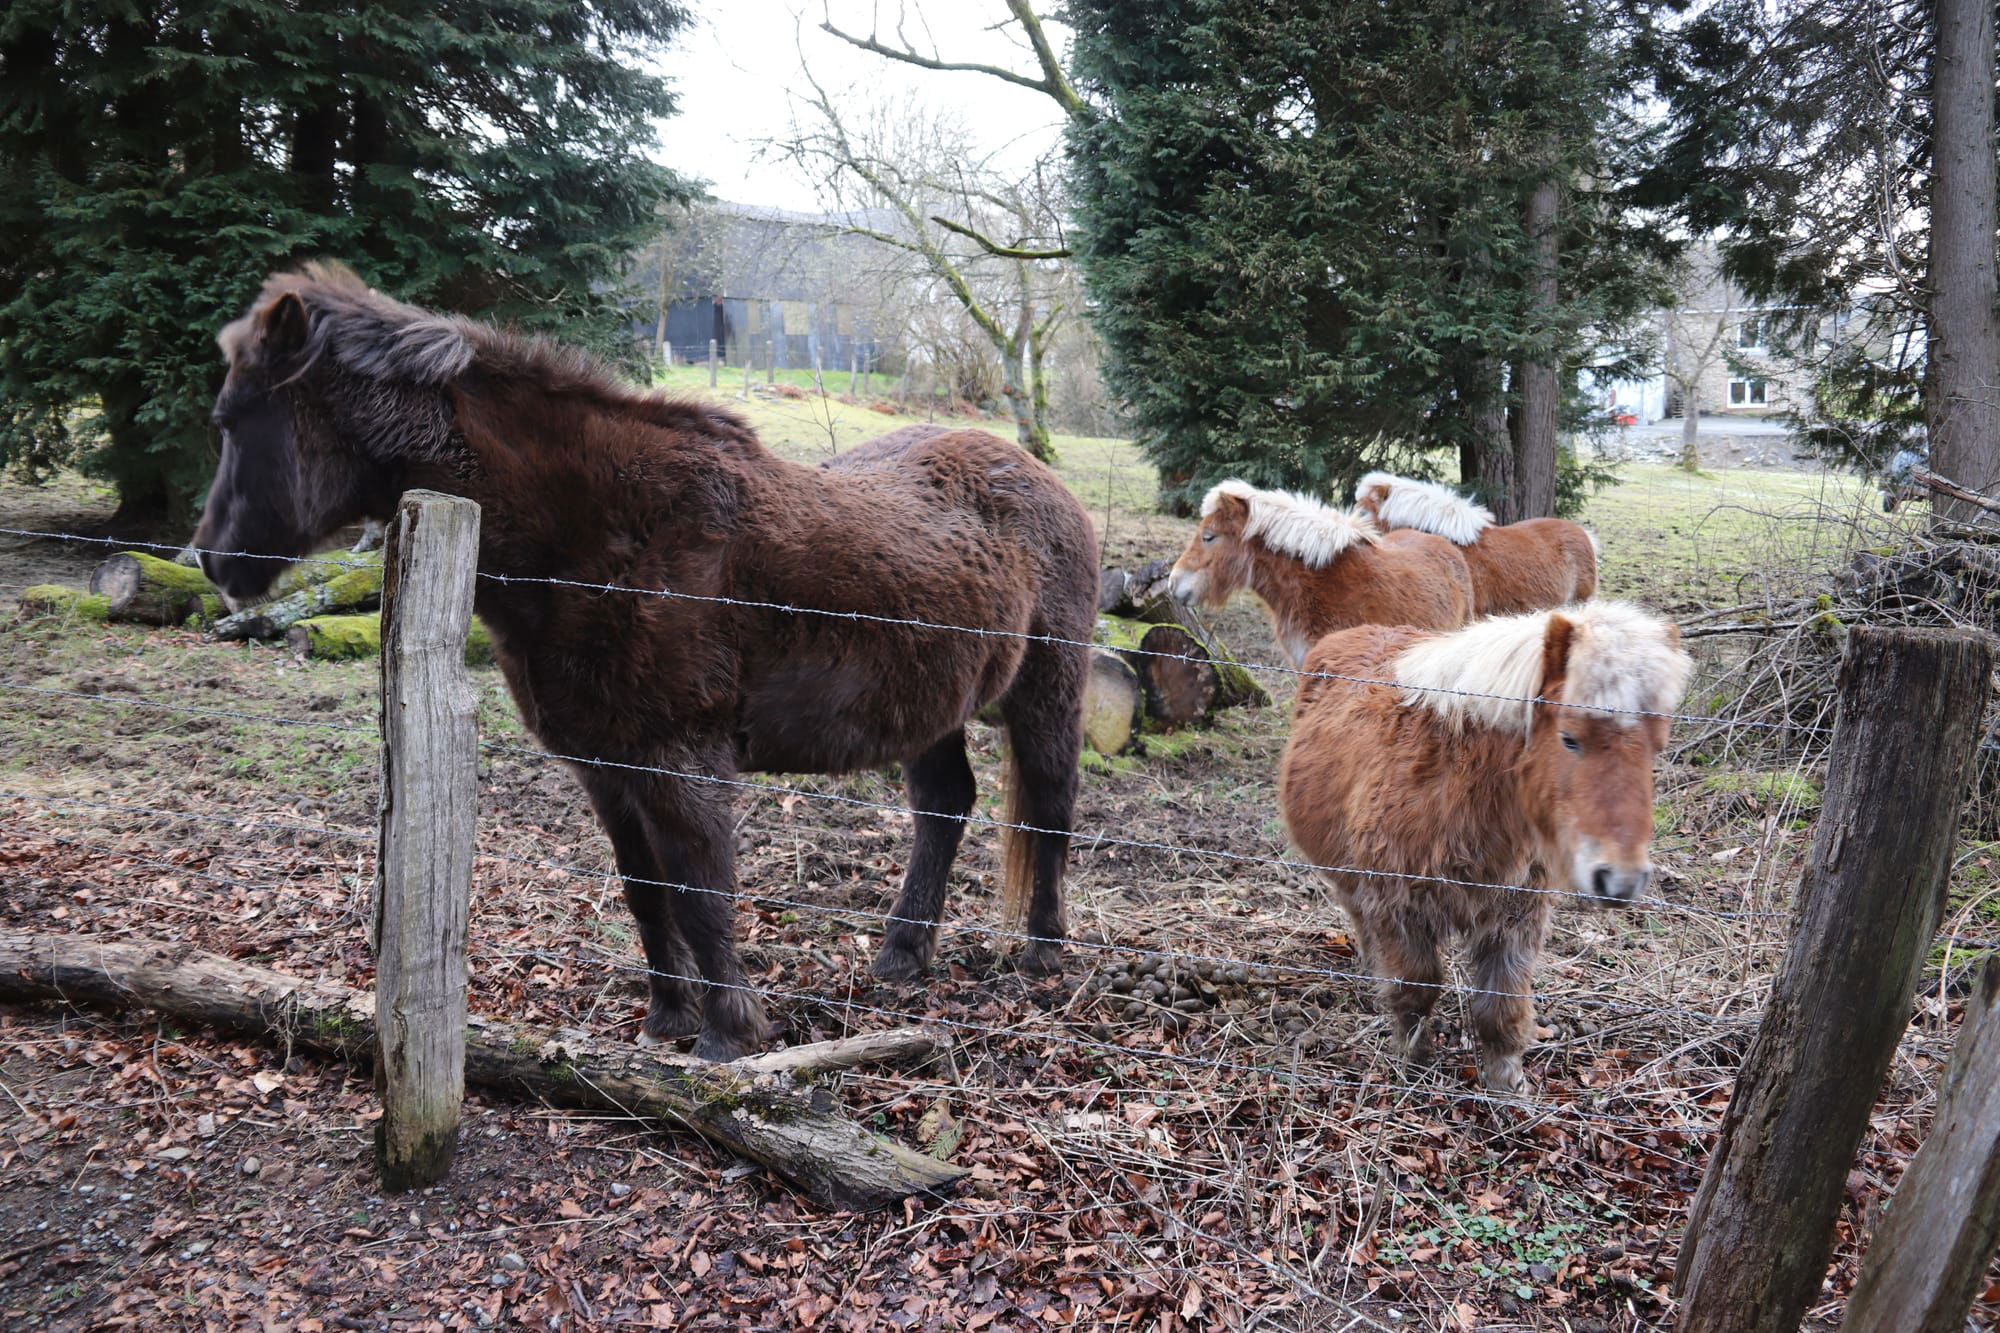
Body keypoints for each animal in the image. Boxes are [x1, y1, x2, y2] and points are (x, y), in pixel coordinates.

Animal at [197, 262, 1104, 1056]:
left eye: (234, 418)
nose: (210, 558)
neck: (598, 531)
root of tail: (1043, 478)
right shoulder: (606, 765)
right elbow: (645, 890)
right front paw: (666, 1020)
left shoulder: (681, 759)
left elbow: (701, 892)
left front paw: (727, 1034)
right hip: (932, 706)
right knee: (945, 807)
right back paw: (901, 955)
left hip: (1046, 691)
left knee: (1049, 806)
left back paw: (1043, 952)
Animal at [1280, 600, 1688, 1088]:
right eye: (1569, 738)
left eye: (1655, 748)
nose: (1621, 879)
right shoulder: (1398, 908)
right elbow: (1415, 990)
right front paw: (1414, 1067)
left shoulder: (1516, 917)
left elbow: (1500, 1010)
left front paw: (1507, 1089)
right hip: (1349, 878)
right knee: (1358, 916)